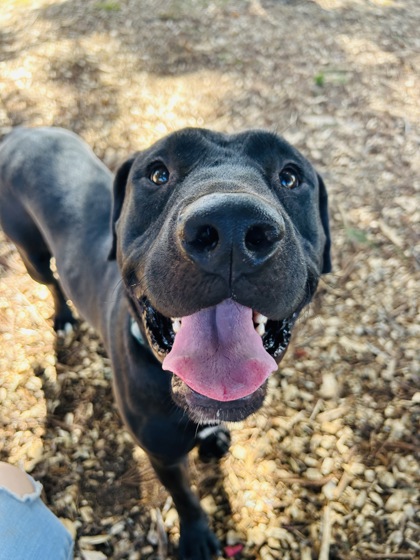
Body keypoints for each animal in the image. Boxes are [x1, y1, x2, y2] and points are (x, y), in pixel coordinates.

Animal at [0, 128, 330, 560]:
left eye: (290, 177)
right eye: (158, 173)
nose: (232, 226)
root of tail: (23, 132)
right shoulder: (162, 455)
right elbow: (185, 497)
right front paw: (196, 537)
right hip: (30, 251)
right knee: (51, 281)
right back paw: (63, 317)